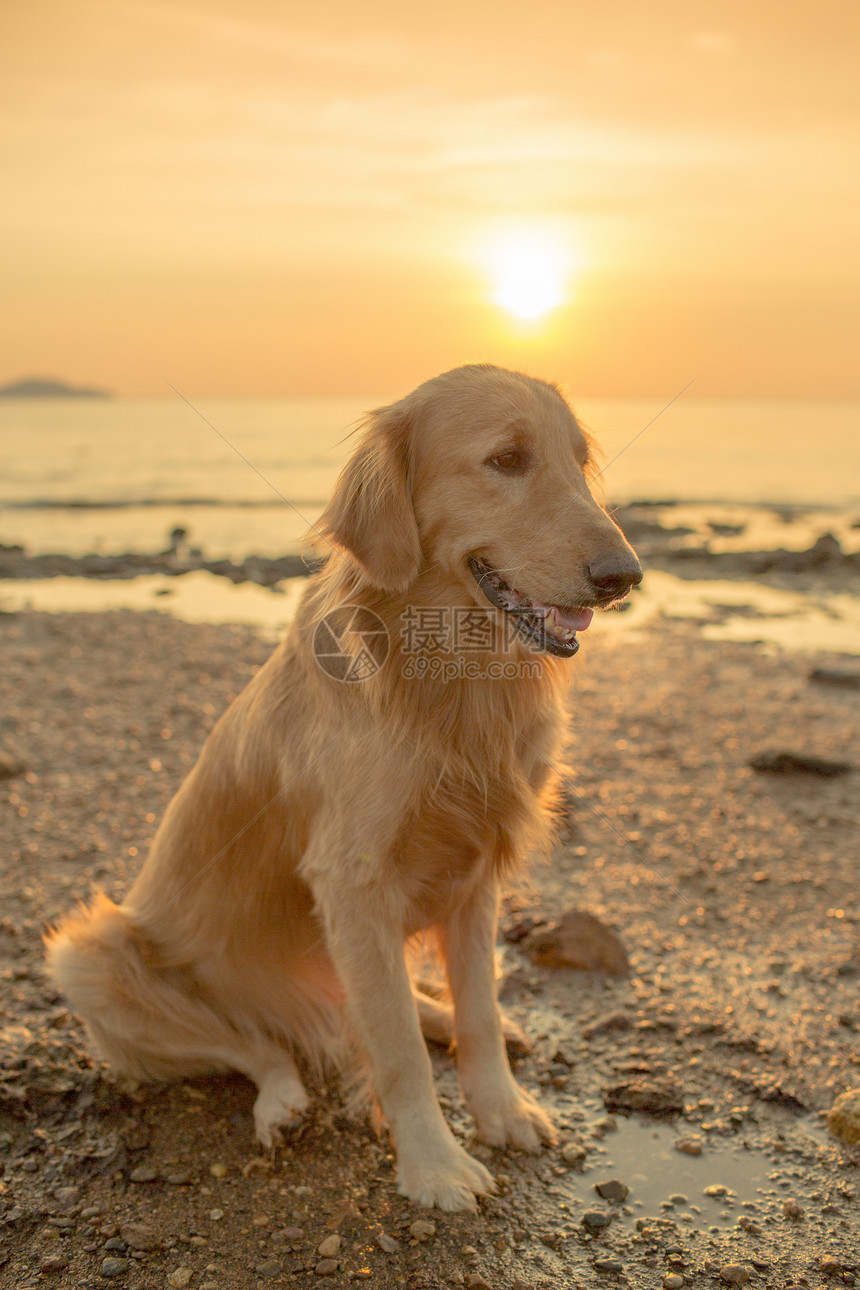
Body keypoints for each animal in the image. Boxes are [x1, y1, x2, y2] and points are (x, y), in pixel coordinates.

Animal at [45, 363, 639, 1207]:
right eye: (507, 460)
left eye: (578, 461)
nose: (625, 577)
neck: (455, 678)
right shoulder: (352, 882)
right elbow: (394, 1051)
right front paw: (433, 1165)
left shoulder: (475, 870)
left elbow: (479, 1010)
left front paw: (501, 1108)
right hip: (90, 962)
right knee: (259, 1045)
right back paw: (283, 1101)